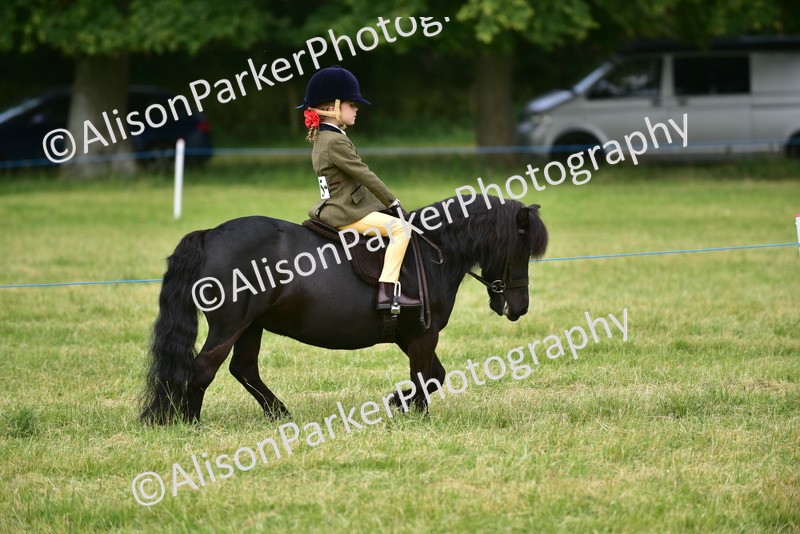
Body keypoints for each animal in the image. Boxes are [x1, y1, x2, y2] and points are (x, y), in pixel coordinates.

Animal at [140, 195, 548, 424]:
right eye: (519, 251)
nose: (520, 307)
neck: (434, 250)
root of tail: (210, 235)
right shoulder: (422, 333)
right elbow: (426, 376)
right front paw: (413, 411)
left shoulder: (408, 334)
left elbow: (435, 374)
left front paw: (401, 403)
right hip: (231, 325)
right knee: (203, 368)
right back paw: (192, 423)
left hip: (251, 325)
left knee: (243, 369)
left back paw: (278, 414)